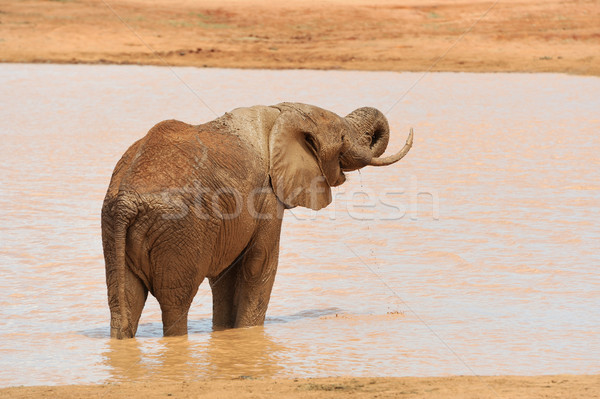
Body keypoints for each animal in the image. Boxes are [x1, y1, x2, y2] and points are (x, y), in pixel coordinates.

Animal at [103, 101, 412, 340]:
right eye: (343, 138)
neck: (283, 113)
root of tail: (125, 203)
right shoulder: (266, 195)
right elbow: (261, 264)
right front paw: (247, 334)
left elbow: (226, 274)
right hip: (180, 230)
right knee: (175, 302)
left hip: (115, 229)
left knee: (124, 302)